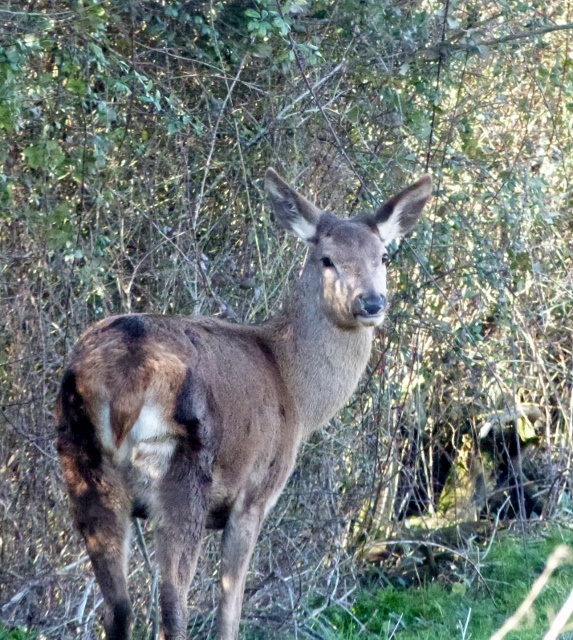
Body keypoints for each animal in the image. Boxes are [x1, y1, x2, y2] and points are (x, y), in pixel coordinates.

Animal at [55, 168, 432, 639]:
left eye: (383, 256)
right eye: (326, 258)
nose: (371, 302)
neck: (295, 392)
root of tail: (125, 379)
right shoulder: (254, 494)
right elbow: (230, 608)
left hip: (81, 459)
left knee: (118, 606)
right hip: (182, 468)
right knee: (172, 604)